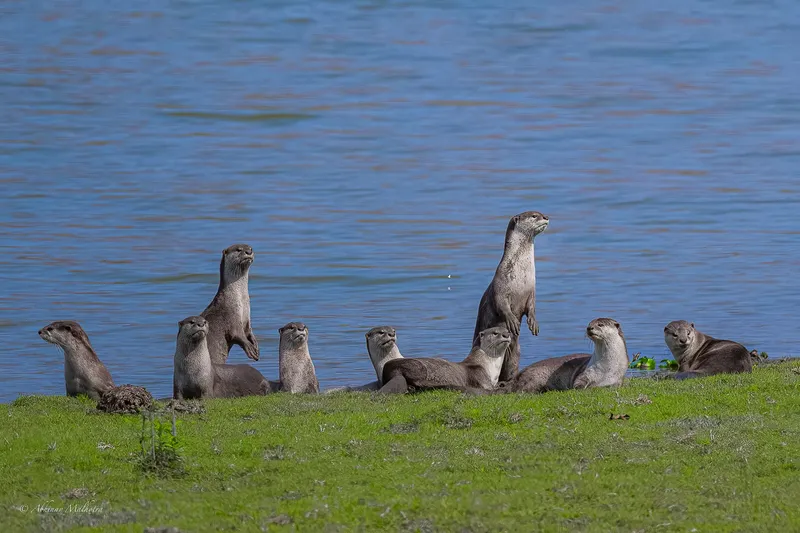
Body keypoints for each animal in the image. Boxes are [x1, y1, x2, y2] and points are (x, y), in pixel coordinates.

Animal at [379, 327, 513, 394]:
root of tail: (390, 369)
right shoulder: (481, 376)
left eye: (507, 331)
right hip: (418, 367)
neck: (489, 366)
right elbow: (490, 388)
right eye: (495, 333)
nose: (506, 335)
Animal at [472, 211, 549, 382]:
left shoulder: (531, 292)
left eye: (541, 214)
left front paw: (534, 322)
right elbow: (502, 306)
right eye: (534, 216)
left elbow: (532, 307)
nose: (546, 217)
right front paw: (512, 321)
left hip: (515, 355)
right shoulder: (500, 288)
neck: (521, 276)